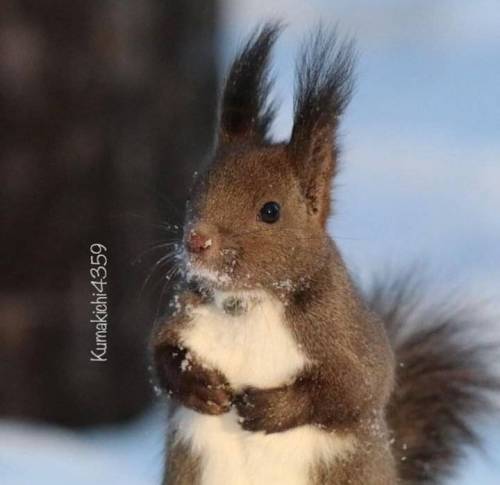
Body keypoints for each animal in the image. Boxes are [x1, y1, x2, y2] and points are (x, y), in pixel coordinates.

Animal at [150, 22, 498, 484]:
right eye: (194, 191)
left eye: (271, 211)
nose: (197, 240)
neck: (247, 303)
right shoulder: (185, 315)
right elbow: (159, 354)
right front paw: (199, 385)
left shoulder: (343, 331)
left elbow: (357, 387)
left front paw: (269, 408)